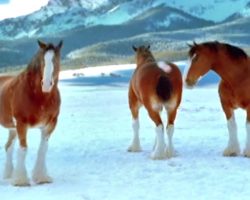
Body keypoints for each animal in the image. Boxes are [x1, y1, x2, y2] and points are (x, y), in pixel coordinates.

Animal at [2, 40, 62, 186]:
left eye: (56, 60)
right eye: (42, 60)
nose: (46, 84)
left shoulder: (50, 124)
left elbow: (43, 149)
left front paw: (42, 177)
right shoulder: (22, 124)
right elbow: (23, 149)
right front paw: (21, 181)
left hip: (12, 128)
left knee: (8, 147)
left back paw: (8, 175)